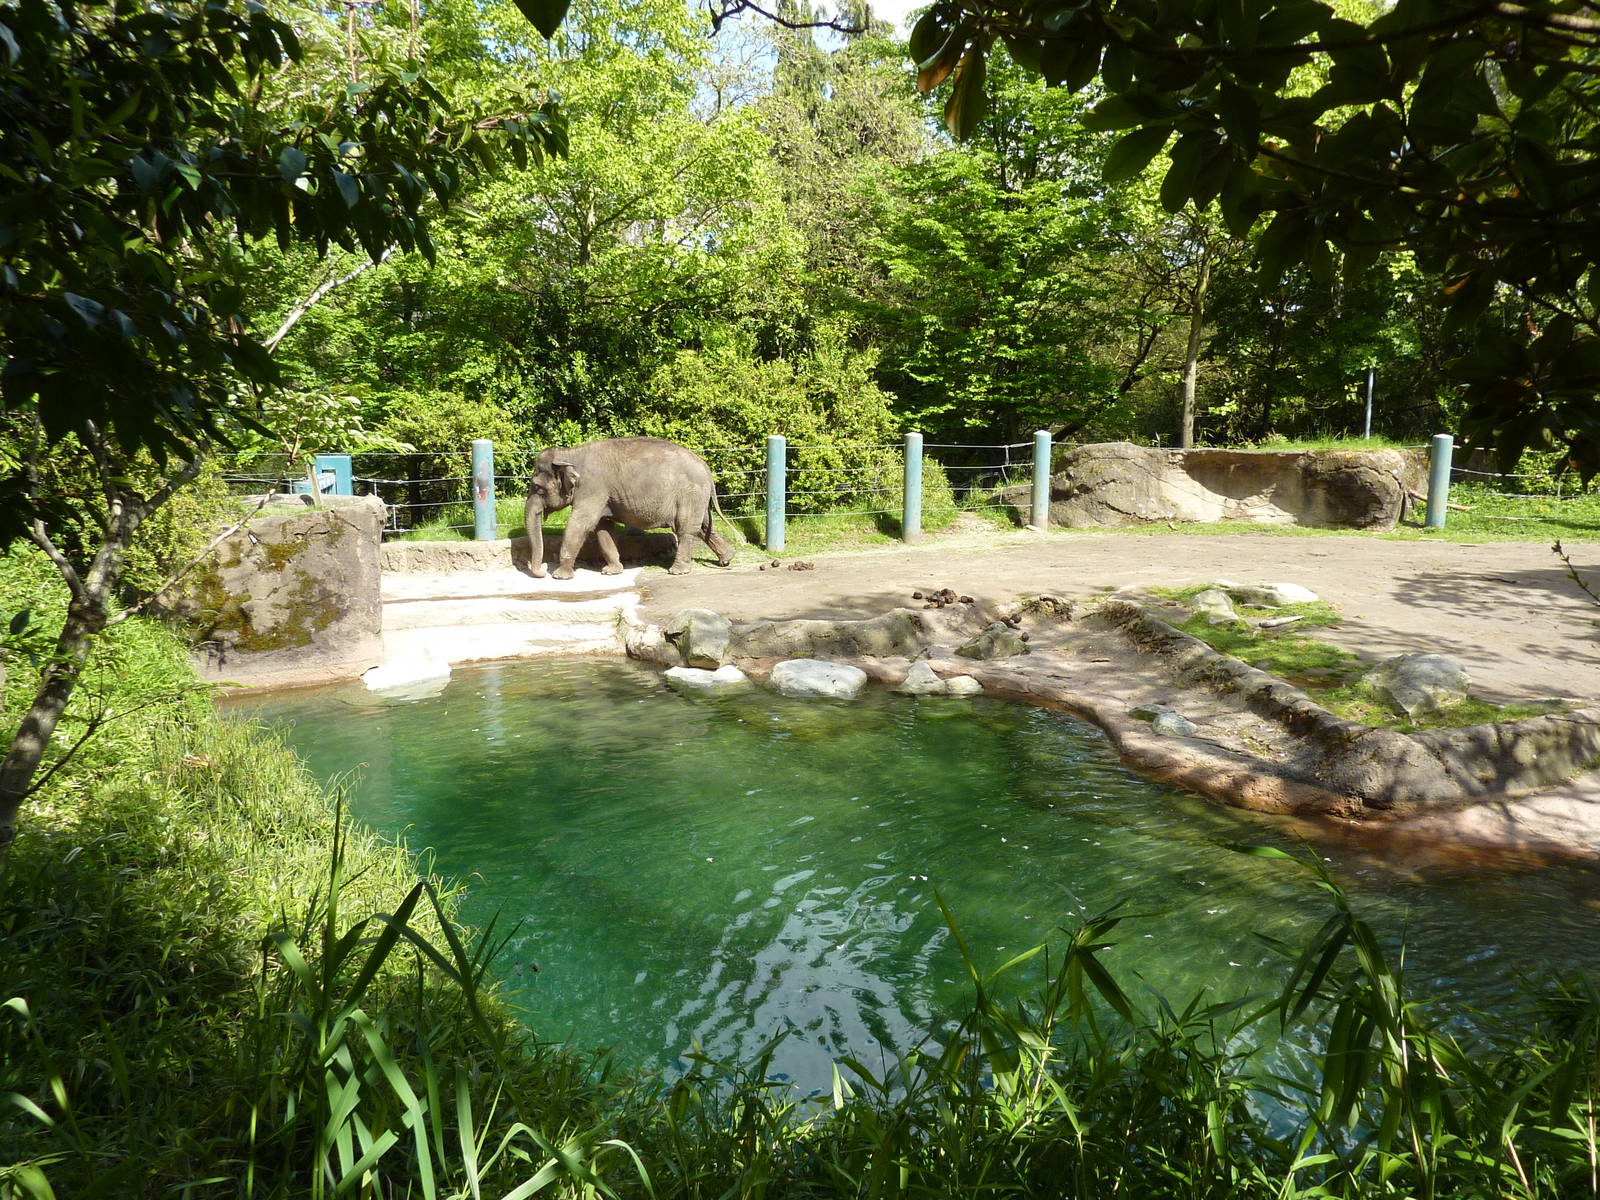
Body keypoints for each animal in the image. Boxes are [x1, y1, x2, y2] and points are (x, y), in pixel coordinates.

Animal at [523, 437, 736, 579]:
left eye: (537, 487)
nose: (543, 568)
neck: (570, 453)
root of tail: (707, 469)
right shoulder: (603, 495)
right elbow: (603, 528)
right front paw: (612, 571)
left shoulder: (592, 489)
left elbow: (580, 523)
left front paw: (560, 576)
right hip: (697, 496)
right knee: (703, 526)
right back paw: (726, 559)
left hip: (689, 493)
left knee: (685, 529)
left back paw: (677, 571)